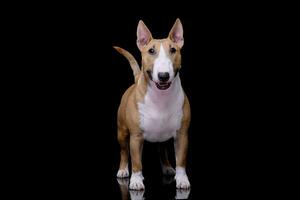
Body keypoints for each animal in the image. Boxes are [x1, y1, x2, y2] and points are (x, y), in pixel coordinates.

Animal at [113, 19, 191, 191]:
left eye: (173, 50)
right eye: (151, 51)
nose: (163, 76)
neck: (160, 98)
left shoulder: (182, 134)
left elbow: (181, 161)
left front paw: (182, 180)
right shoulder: (136, 136)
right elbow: (136, 160)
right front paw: (136, 181)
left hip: (163, 136)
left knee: (162, 150)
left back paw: (167, 167)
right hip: (122, 132)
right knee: (123, 151)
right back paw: (123, 170)